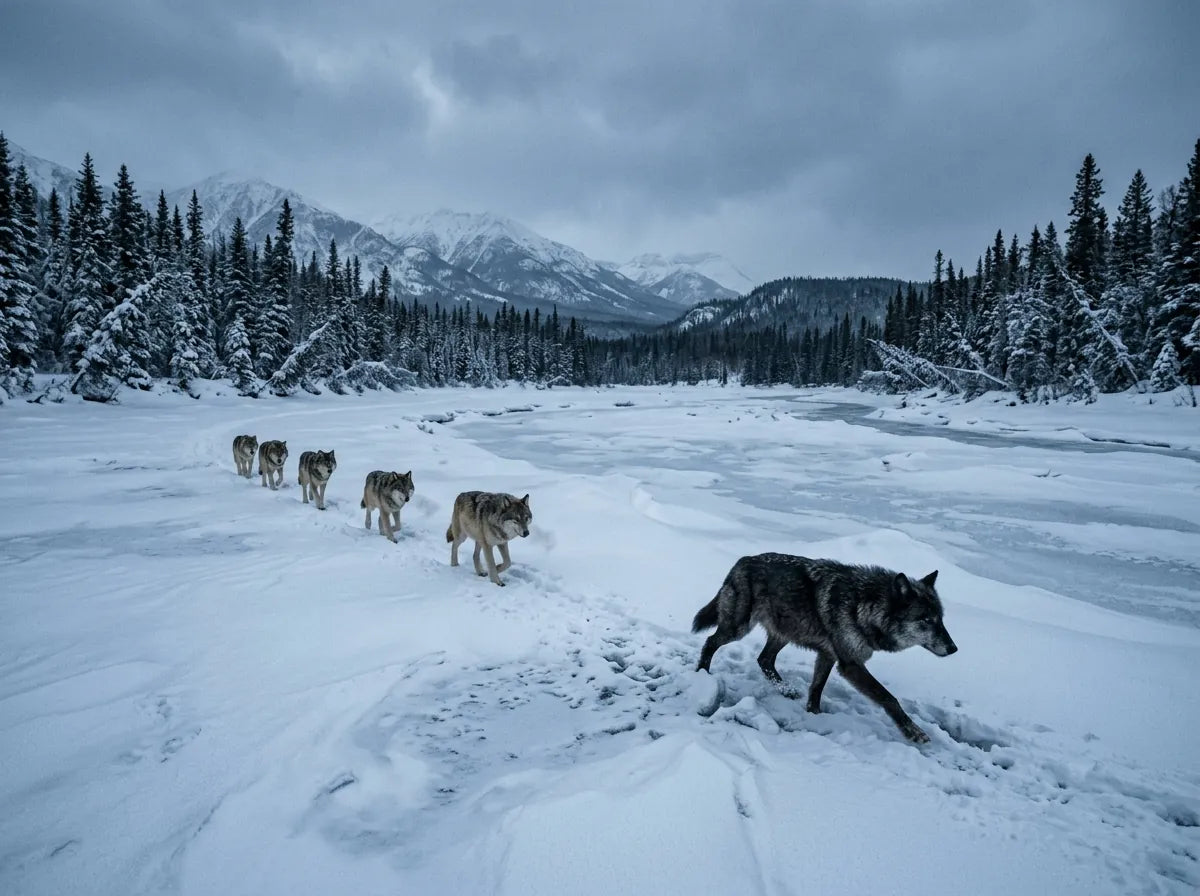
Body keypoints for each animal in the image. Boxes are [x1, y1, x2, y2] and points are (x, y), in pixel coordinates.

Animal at [692, 554, 957, 743]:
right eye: (926, 620)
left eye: (941, 619)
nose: (954, 648)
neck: (863, 606)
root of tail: (741, 561)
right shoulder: (850, 664)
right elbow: (888, 698)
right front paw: (914, 732)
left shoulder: (828, 655)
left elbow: (816, 689)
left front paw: (814, 715)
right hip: (738, 628)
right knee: (711, 642)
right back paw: (702, 674)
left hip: (785, 632)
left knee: (764, 659)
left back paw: (786, 690)